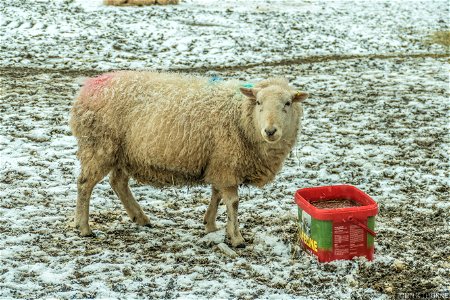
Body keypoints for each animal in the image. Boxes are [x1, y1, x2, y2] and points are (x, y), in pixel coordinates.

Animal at [70, 71, 308, 247]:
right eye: (258, 102)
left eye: (288, 103)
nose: (270, 131)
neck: (240, 116)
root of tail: (89, 85)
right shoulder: (227, 164)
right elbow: (232, 202)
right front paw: (236, 238)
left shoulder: (218, 162)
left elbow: (216, 194)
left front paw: (210, 224)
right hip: (99, 146)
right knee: (84, 184)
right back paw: (83, 227)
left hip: (123, 152)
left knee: (118, 183)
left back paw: (140, 218)